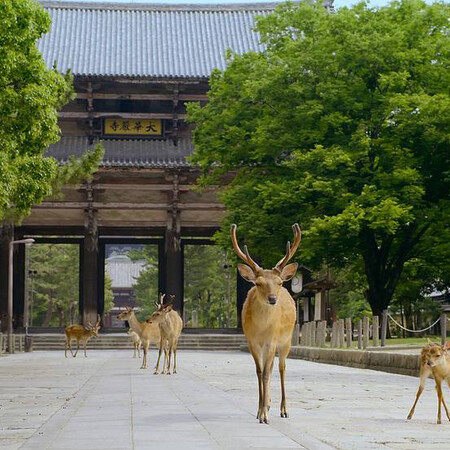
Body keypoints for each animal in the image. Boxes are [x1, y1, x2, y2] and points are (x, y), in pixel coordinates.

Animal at [230, 223, 300, 424]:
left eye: (279, 282)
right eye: (258, 283)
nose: (273, 299)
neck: (261, 329)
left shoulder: (271, 340)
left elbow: (268, 373)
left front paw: (264, 415)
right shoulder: (252, 342)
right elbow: (260, 372)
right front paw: (260, 410)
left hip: (286, 340)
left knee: (282, 368)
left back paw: (284, 409)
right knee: (270, 366)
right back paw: (268, 404)